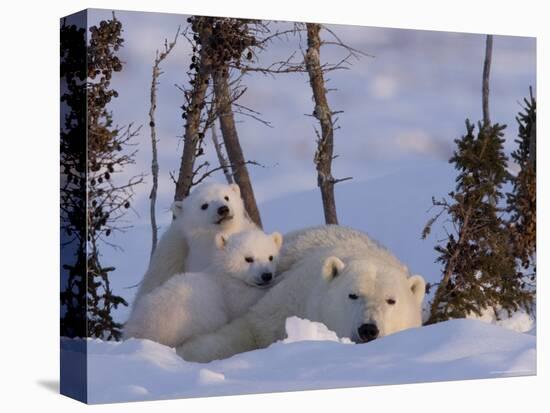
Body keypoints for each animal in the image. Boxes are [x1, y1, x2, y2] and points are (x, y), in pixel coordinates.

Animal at [123, 229, 282, 348]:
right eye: (248, 258)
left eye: (270, 257)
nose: (266, 275)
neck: (224, 273)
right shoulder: (229, 292)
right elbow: (246, 302)